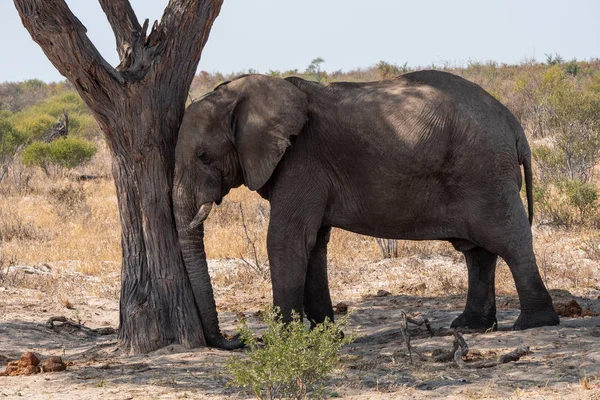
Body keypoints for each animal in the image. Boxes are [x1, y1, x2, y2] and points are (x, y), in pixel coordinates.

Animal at [171, 70, 560, 348]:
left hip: (485, 171)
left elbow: (286, 239)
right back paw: (472, 326)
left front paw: (282, 341)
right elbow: (314, 244)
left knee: (508, 239)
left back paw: (535, 323)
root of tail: (514, 125)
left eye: (204, 156)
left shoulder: (301, 162)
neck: (244, 93)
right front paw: (327, 337)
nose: (235, 341)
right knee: (478, 251)